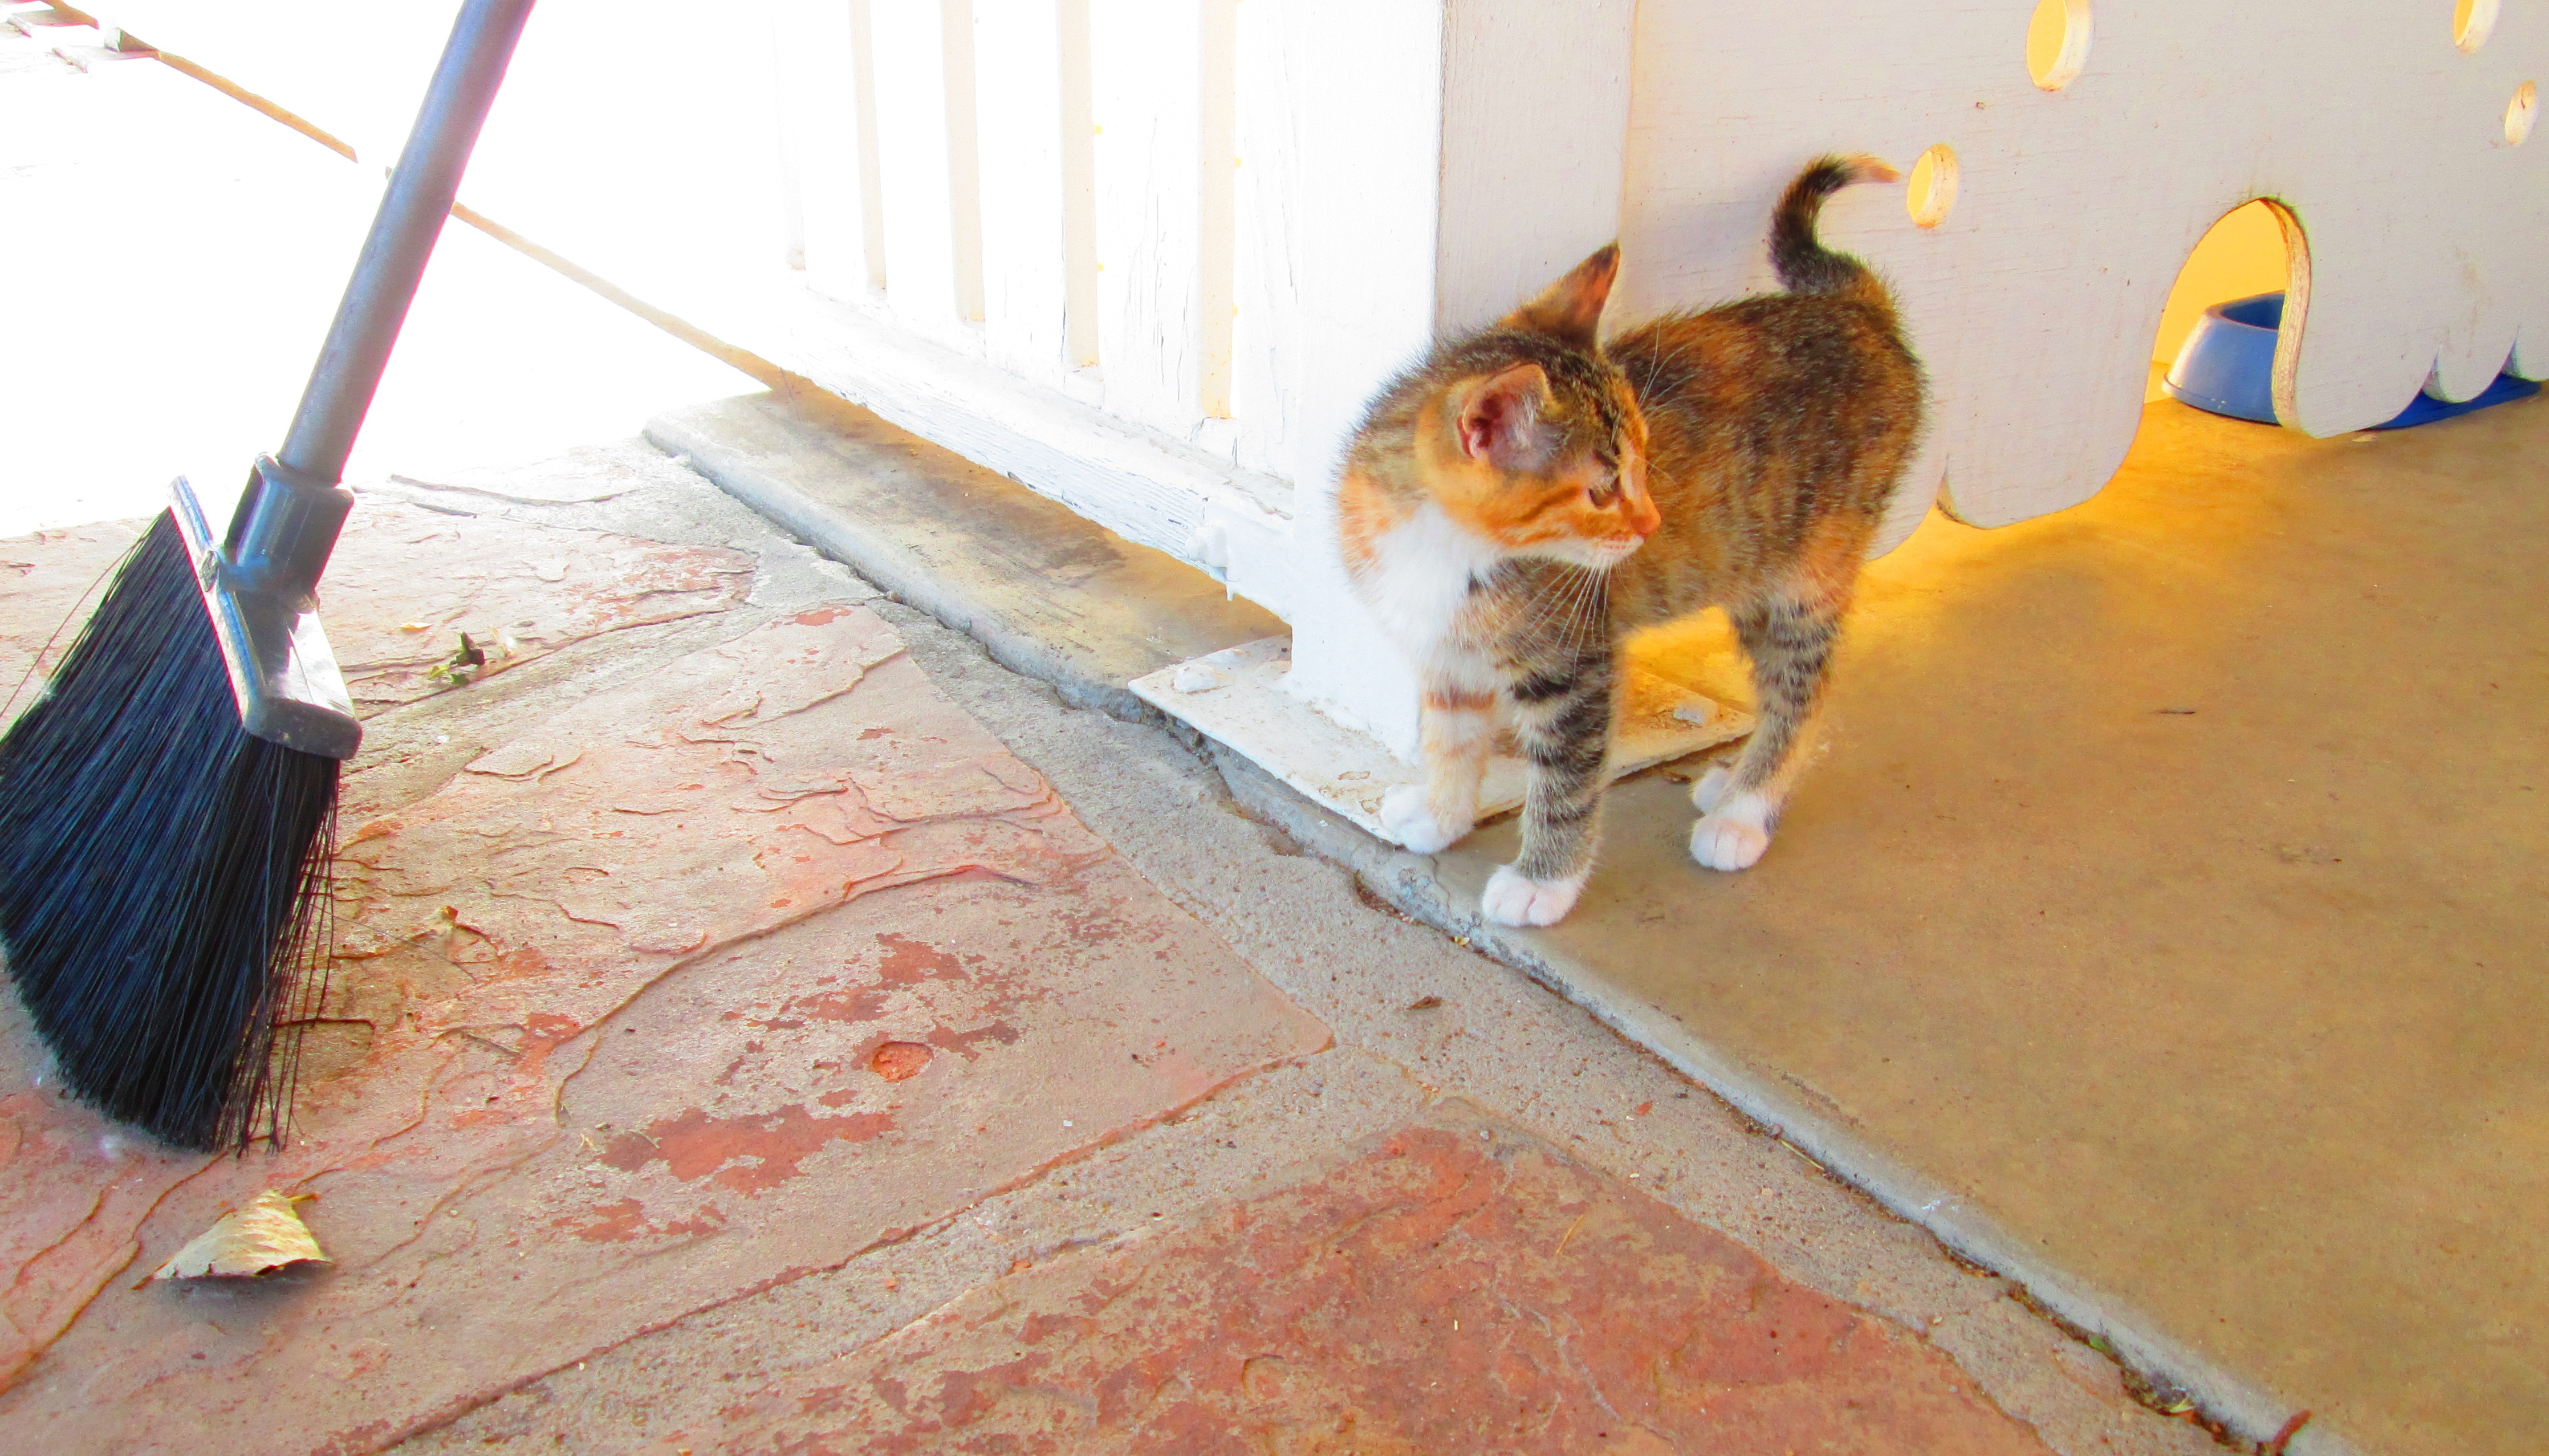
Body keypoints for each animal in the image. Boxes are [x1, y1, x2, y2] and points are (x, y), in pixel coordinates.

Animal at [1336, 154, 1924, 928]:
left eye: (1642, 463)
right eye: (1599, 489)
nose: (1649, 524)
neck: (1449, 545)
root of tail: (1859, 314)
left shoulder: (1575, 663)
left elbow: (1567, 778)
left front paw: (1543, 880)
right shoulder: (1445, 643)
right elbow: (1452, 733)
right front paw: (1440, 813)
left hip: (1806, 568)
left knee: (1804, 687)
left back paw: (1745, 811)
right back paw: (1732, 785)